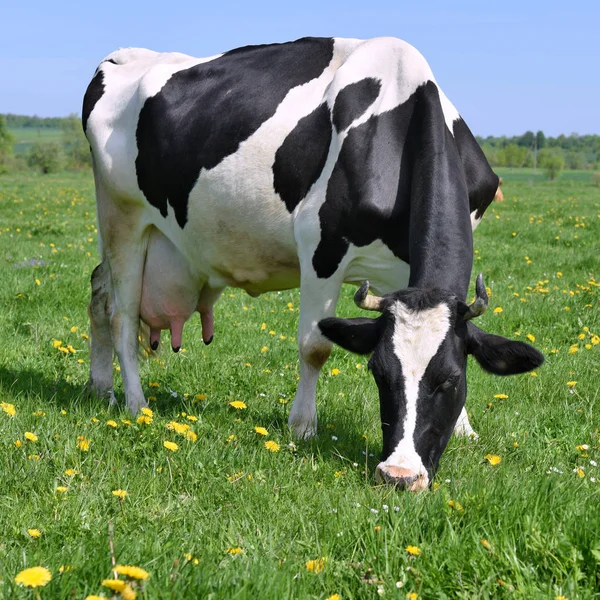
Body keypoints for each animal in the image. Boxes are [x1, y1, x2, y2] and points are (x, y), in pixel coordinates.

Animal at [84, 36, 544, 488]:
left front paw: (465, 428)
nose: (399, 475)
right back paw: (135, 402)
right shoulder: (322, 249)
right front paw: (303, 425)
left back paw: (100, 387)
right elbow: (315, 346)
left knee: (99, 295)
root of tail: (120, 56)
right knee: (122, 315)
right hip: (121, 217)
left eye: (451, 379)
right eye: (379, 373)